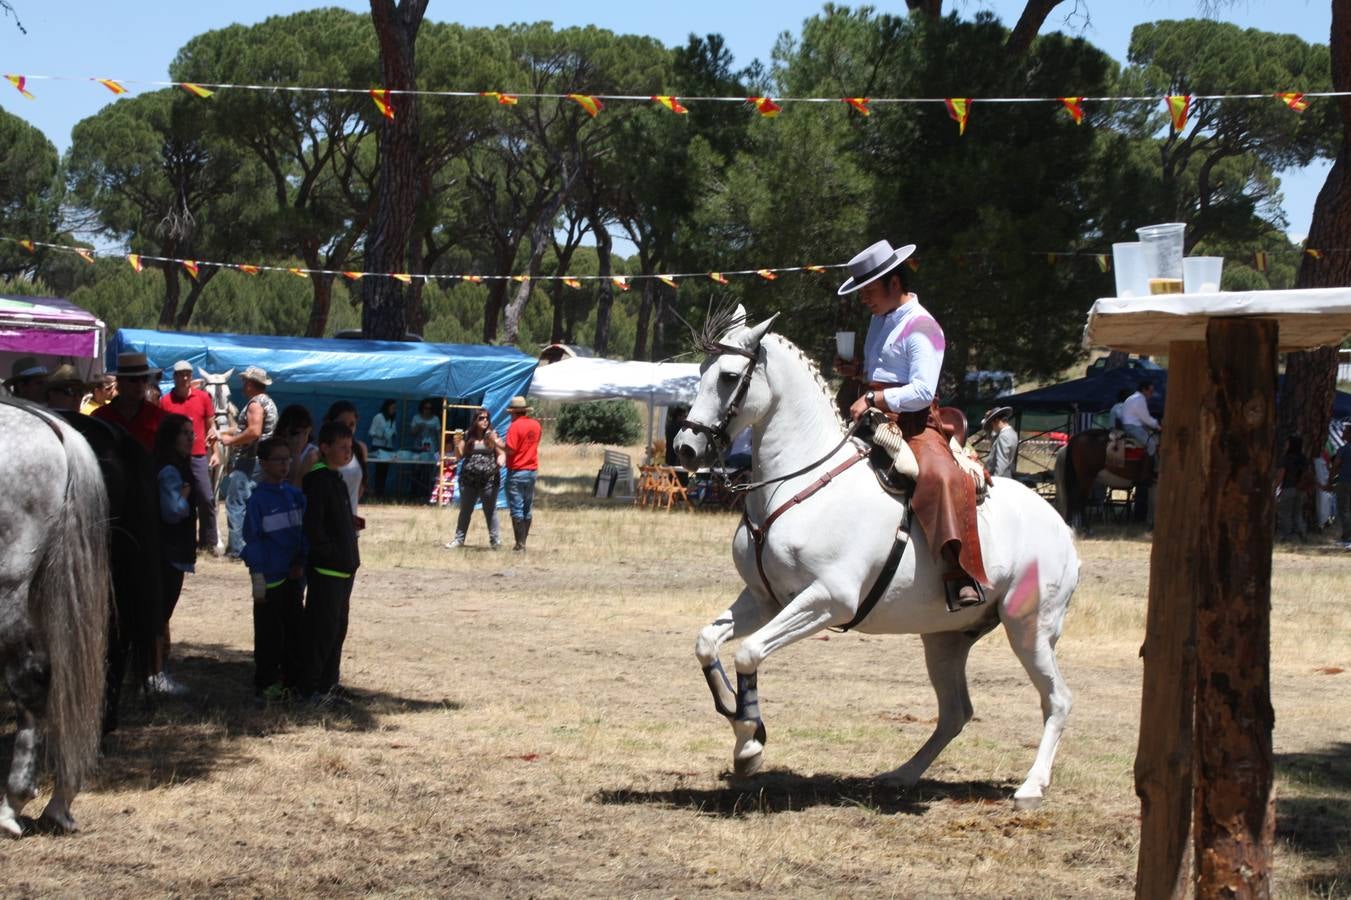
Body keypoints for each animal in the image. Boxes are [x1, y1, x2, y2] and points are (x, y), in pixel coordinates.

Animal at [672, 308, 1075, 805]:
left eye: (729, 377)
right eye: (700, 372)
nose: (686, 448)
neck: (798, 484)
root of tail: (1061, 526)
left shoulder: (828, 601)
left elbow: (748, 652)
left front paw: (749, 742)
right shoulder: (765, 600)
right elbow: (707, 643)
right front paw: (744, 729)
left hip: (1030, 630)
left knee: (1056, 699)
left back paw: (1031, 785)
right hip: (945, 640)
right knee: (956, 712)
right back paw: (903, 774)